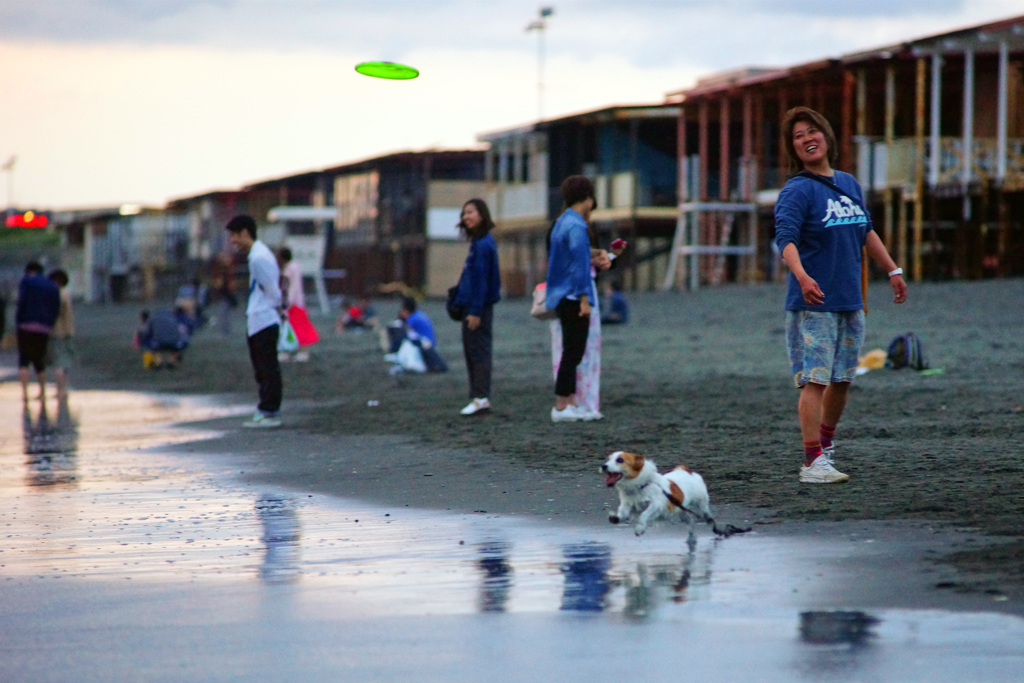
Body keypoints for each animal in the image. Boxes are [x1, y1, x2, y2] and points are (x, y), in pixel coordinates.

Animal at [598, 450, 737, 540]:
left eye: (620, 460)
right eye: (608, 459)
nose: (603, 466)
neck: (640, 486)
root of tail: (686, 470)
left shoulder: (656, 505)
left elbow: (644, 515)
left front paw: (639, 529)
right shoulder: (627, 505)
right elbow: (622, 513)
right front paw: (616, 518)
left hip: (701, 505)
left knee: (706, 515)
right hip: (682, 513)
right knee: (690, 523)